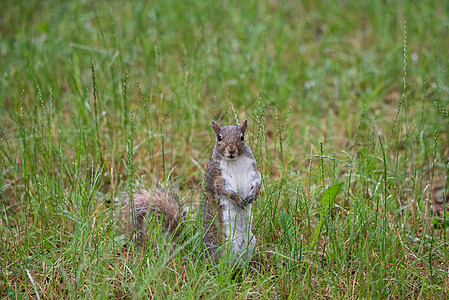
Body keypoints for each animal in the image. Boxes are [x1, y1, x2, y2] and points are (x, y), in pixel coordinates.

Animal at [117, 120, 260, 264]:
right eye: (219, 138)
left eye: (242, 137)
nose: (231, 150)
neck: (233, 161)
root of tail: (196, 253)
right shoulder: (214, 176)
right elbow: (221, 189)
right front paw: (237, 198)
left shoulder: (252, 170)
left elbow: (258, 181)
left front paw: (254, 195)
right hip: (222, 246)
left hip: (251, 242)